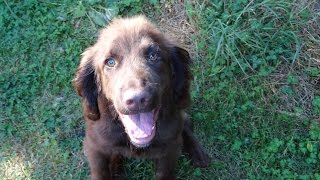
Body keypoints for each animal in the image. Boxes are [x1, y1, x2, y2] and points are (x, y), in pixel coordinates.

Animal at [73, 15, 210, 180]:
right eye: (110, 62)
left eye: (154, 56)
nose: (137, 99)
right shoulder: (95, 147)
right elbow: (100, 172)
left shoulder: (170, 150)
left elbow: (165, 172)